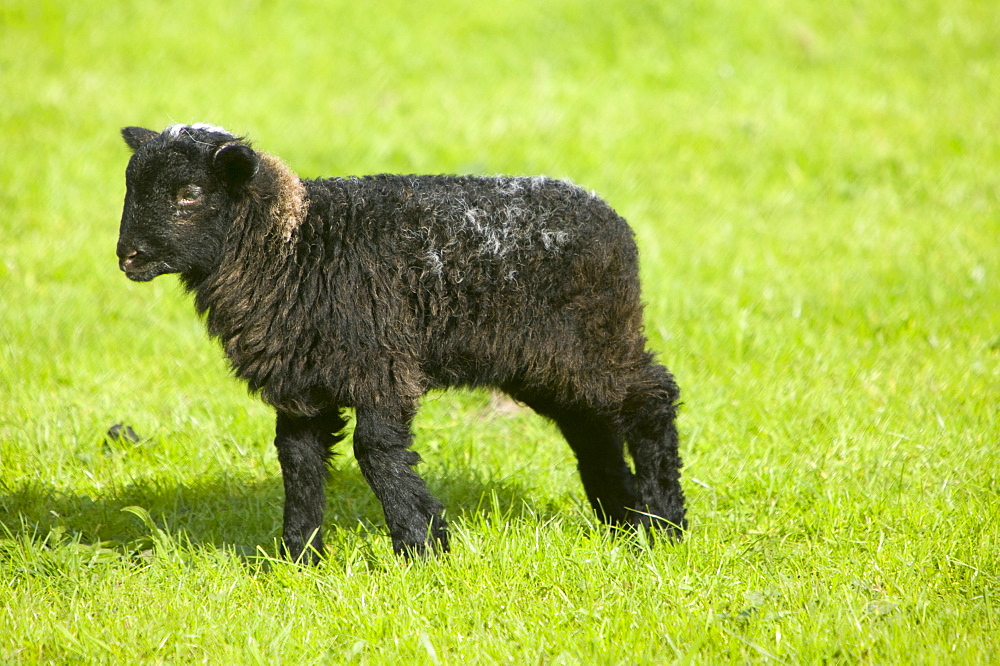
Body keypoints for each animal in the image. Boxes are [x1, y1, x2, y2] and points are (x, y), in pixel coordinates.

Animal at [113, 122, 684, 556]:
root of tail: (613, 222)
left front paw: (422, 546)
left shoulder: (381, 365)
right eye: (130, 187)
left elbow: (377, 451)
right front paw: (298, 556)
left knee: (653, 398)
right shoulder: (302, 384)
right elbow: (298, 461)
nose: (127, 255)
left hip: (595, 340)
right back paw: (622, 519)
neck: (297, 246)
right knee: (592, 425)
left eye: (189, 194)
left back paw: (666, 522)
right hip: (547, 362)